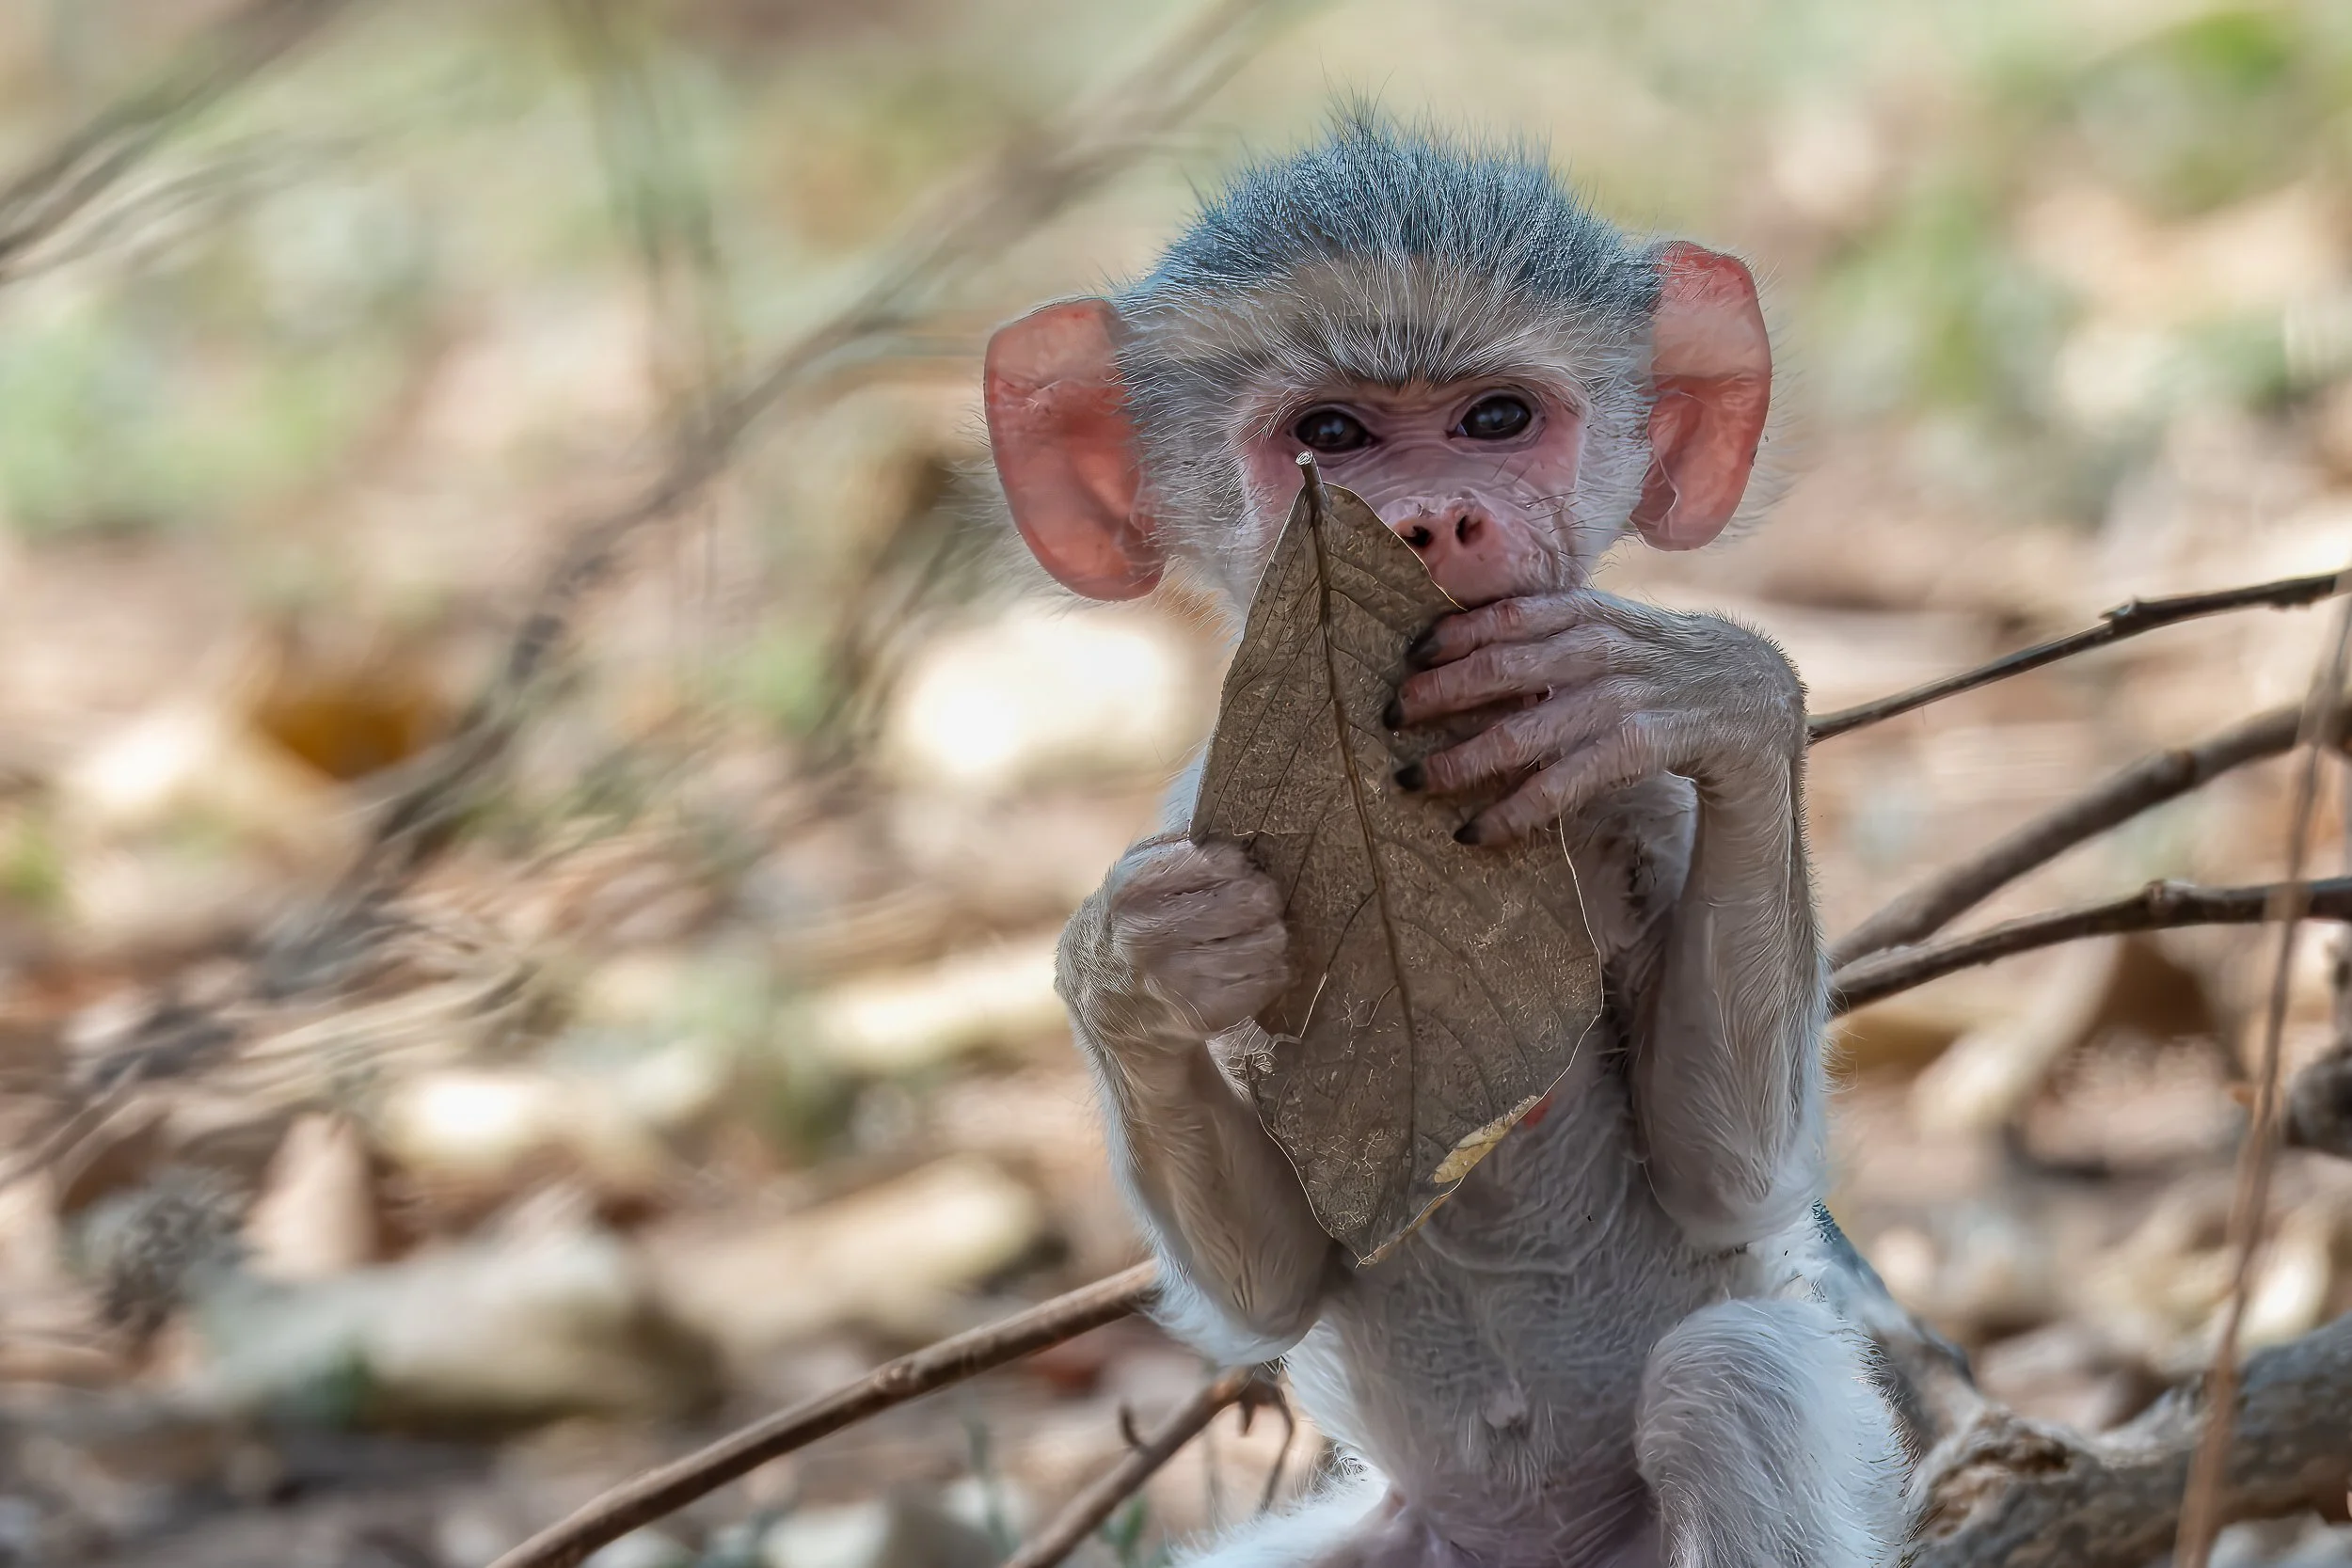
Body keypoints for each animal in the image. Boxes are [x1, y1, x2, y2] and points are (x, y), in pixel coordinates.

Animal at [982, 120, 1907, 1568]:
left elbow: (1733, 1179)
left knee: (1730, 1378)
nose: (1432, 521)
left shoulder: (1646, 799)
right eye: (1330, 435)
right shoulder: (1203, 807)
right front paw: (1134, 964)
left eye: (1495, 419)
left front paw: (1713, 691)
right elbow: (1269, 1282)